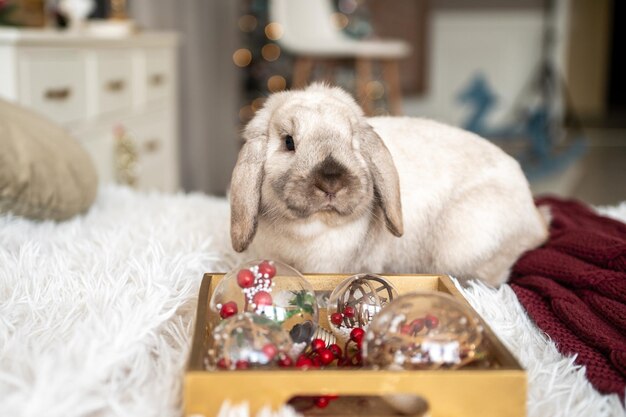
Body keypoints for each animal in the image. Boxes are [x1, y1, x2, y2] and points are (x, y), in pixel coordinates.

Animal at [230, 83, 544, 284]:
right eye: (288, 142)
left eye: (353, 141)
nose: (331, 182)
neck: (309, 229)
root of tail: (535, 220)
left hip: (463, 243)